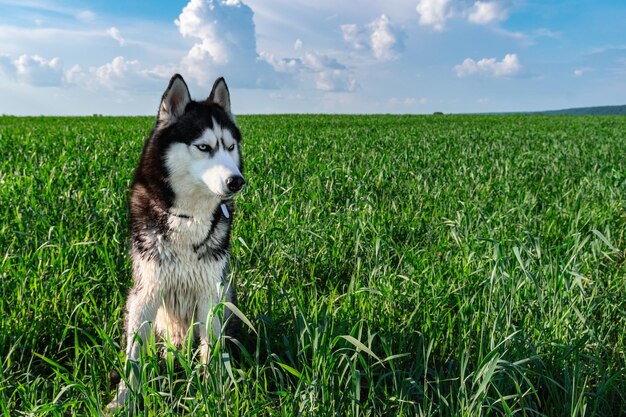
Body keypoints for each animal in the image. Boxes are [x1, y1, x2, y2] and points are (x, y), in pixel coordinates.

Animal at [106, 74, 243, 410]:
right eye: (204, 147)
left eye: (230, 146)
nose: (237, 181)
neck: (188, 217)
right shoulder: (146, 291)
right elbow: (133, 357)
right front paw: (124, 400)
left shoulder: (211, 291)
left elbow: (212, 349)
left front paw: (214, 394)